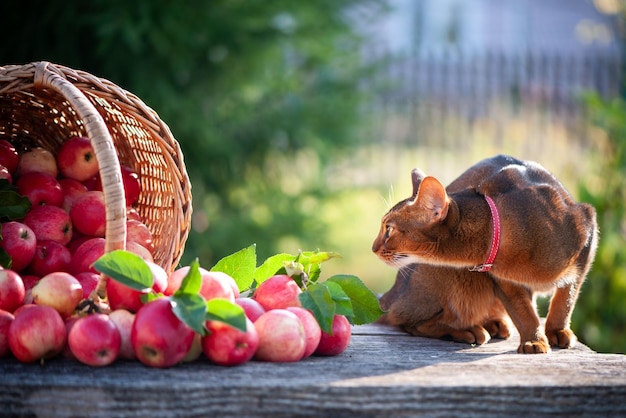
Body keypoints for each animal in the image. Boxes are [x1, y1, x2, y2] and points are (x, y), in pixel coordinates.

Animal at [372, 154, 596, 352]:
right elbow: (524, 312)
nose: (373, 248)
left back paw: (493, 324)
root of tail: (393, 292)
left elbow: (566, 298)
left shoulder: (587, 229)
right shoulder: (504, 281)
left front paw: (557, 330)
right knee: (407, 321)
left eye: (389, 229)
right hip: (452, 277)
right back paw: (469, 331)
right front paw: (534, 341)